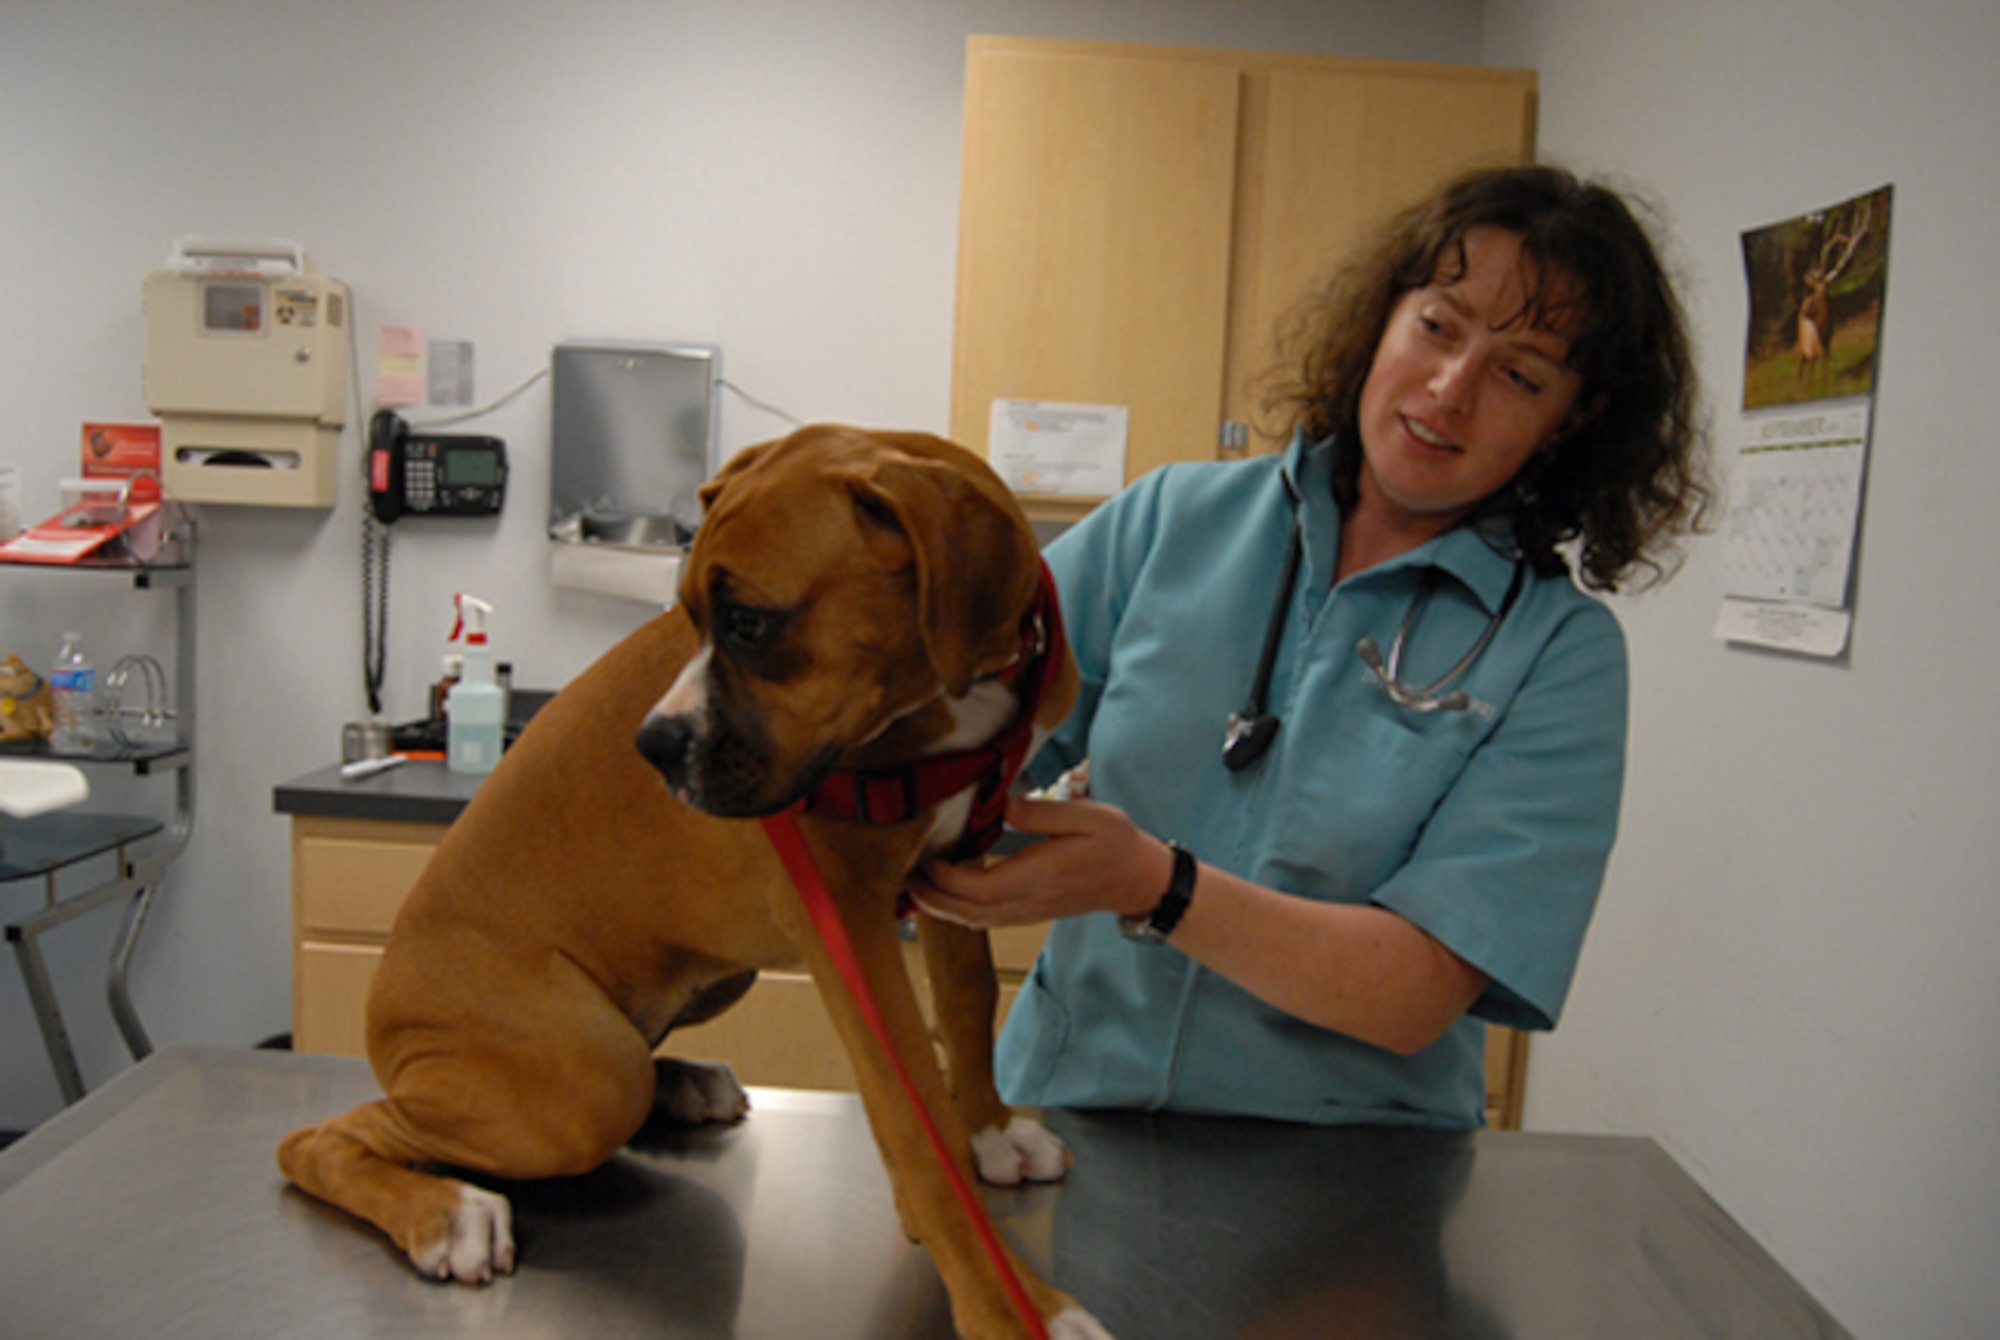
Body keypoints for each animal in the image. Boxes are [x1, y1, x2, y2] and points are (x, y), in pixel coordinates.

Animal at [280, 428, 1112, 1340]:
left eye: (748, 623)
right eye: (686, 618)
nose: (651, 746)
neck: (946, 696)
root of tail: (384, 998)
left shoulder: (957, 857)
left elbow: (966, 1004)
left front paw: (991, 1131)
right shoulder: (845, 917)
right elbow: (912, 1116)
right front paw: (1012, 1306)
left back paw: (680, 1085)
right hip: (580, 1082)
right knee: (322, 1138)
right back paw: (446, 1217)